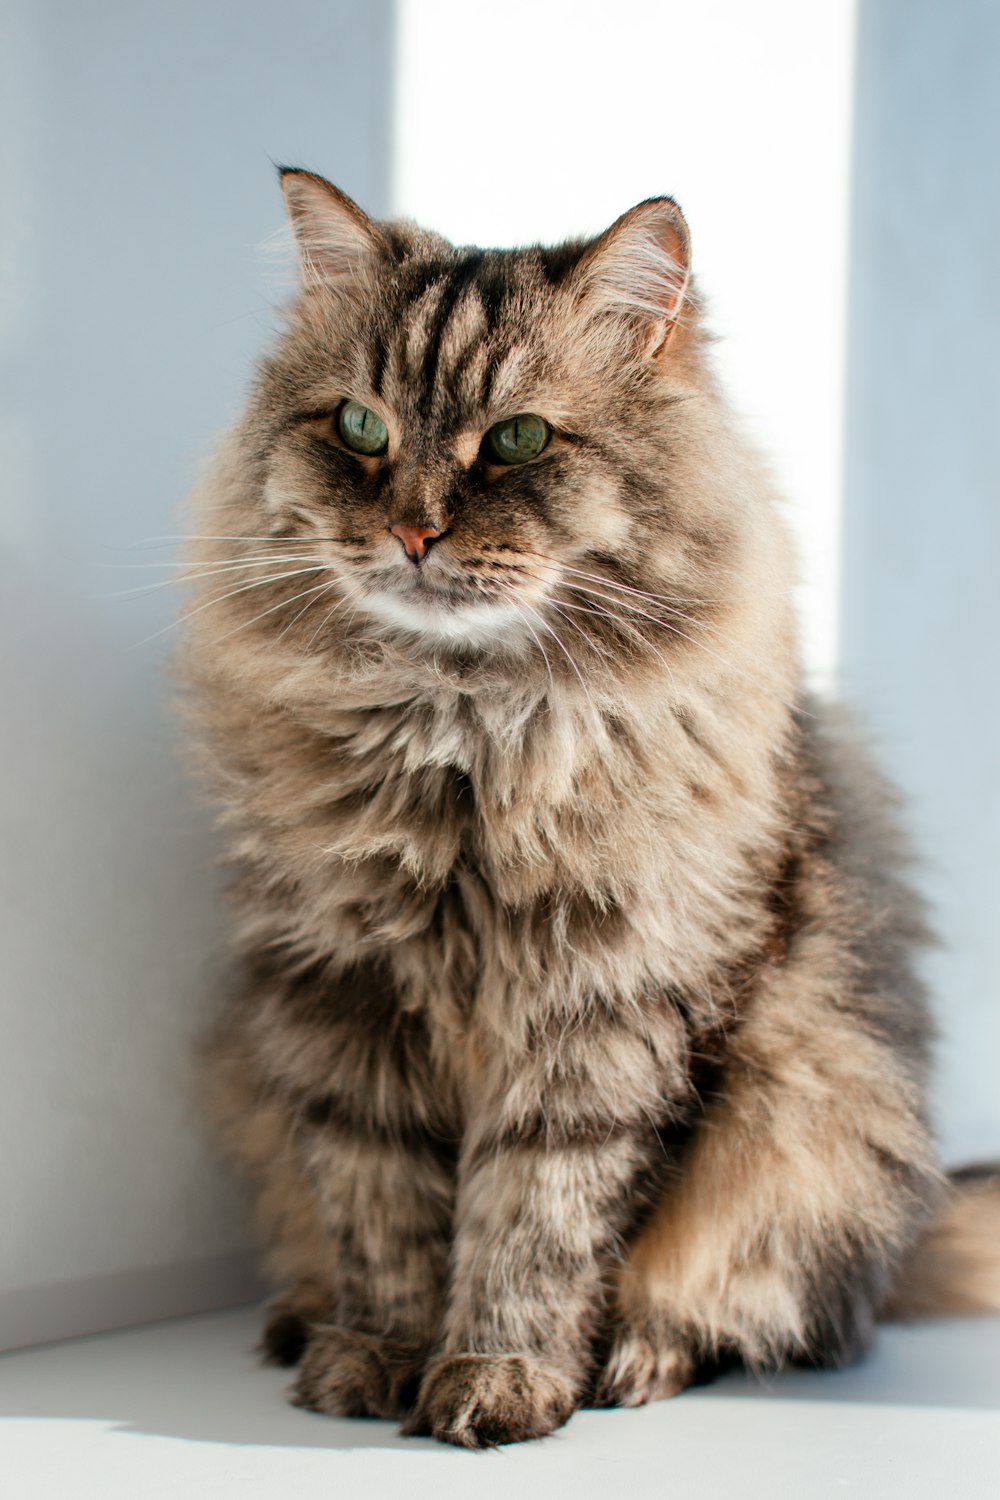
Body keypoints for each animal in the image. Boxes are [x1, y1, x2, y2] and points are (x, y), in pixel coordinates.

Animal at [179, 170, 1000, 1446]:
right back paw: (300, 1324)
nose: (412, 531)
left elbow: (535, 1220)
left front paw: (497, 1377)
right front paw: (374, 1359)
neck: (460, 734)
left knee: (765, 1314)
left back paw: (637, 1358)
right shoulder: (342, 994)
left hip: (813, 1125)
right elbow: (379, 1210)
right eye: (359, 428)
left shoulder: (605, 1010)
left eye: (517, 440)